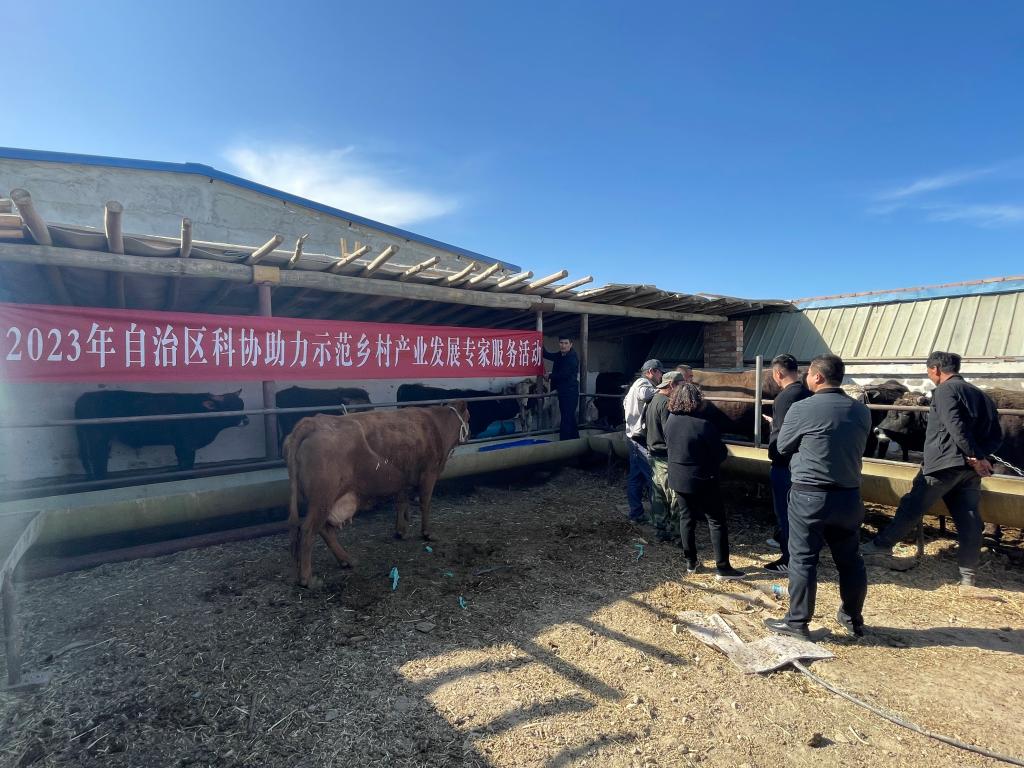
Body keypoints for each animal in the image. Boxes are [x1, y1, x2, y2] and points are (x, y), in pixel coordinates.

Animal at [74, 389, 249, 480]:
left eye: (242, 405)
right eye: (231, 408)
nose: (246, 420)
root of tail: (84, 396)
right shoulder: (186, 445)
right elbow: (186, 465)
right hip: (97, 438)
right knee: (98, 463)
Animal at [284, 402, 471, 587]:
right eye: (469, 417)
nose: (469, 433)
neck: (435, 423)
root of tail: (314, 421)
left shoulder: (402, 480)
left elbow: (401, 503)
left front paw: (401, 532)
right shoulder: (429, 473)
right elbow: (425, 503)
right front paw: (427, 533)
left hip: (322, 500)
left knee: (324, 529)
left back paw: (347, 560)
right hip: (323, 498)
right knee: (308, 531)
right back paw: (307, 579)